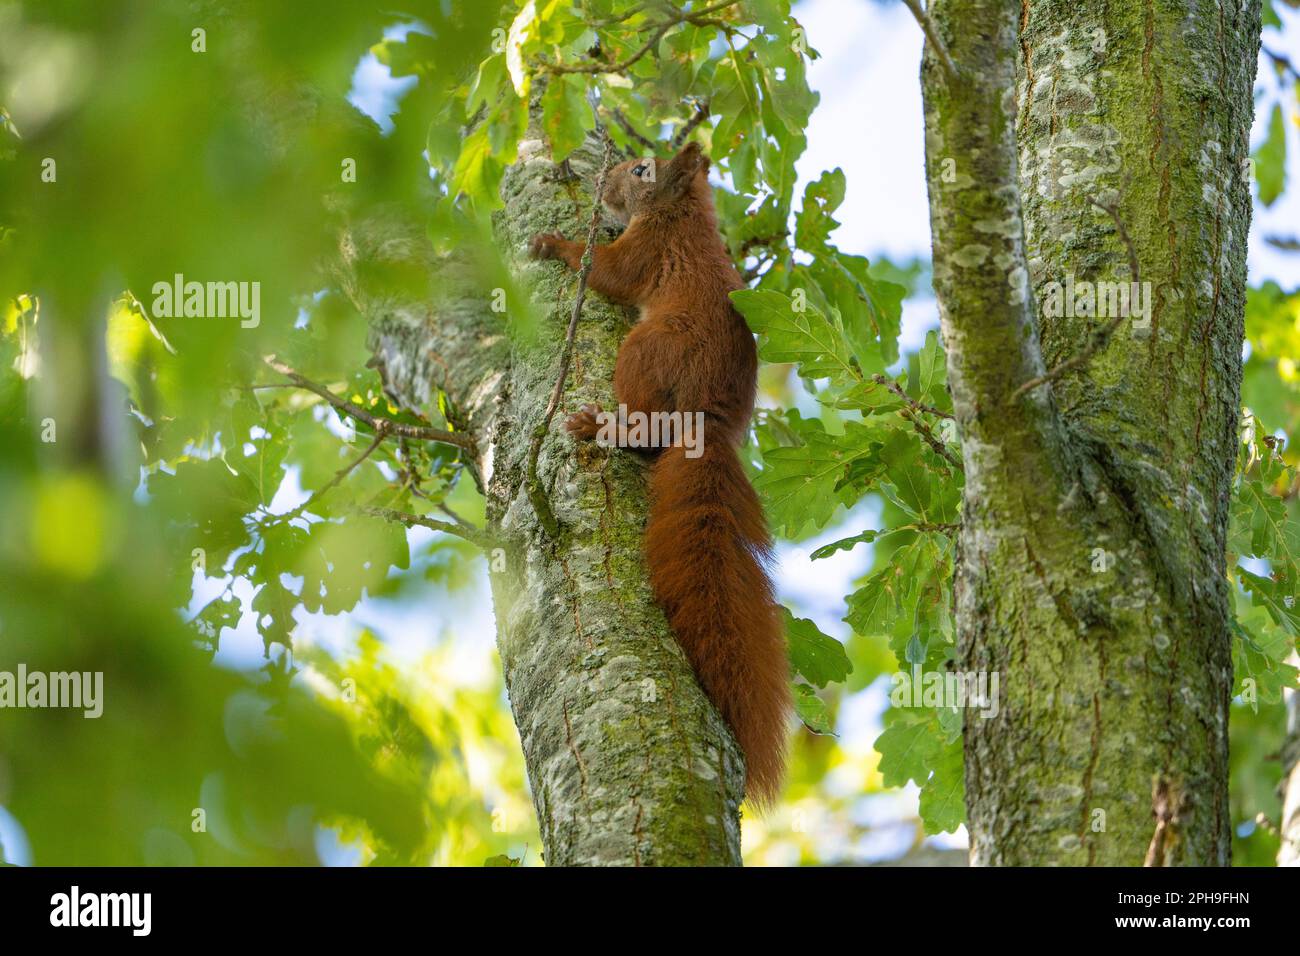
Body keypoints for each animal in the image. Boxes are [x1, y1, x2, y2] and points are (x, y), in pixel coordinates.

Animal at [529, 141, 791, 807]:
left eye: (643, 170)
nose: (603, 179)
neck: (681, 212)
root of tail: (711, 420)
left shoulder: (647, 249)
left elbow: (610, 275)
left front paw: (558, 244)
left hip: (647, 349)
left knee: (647, 428)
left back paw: (601, 427)